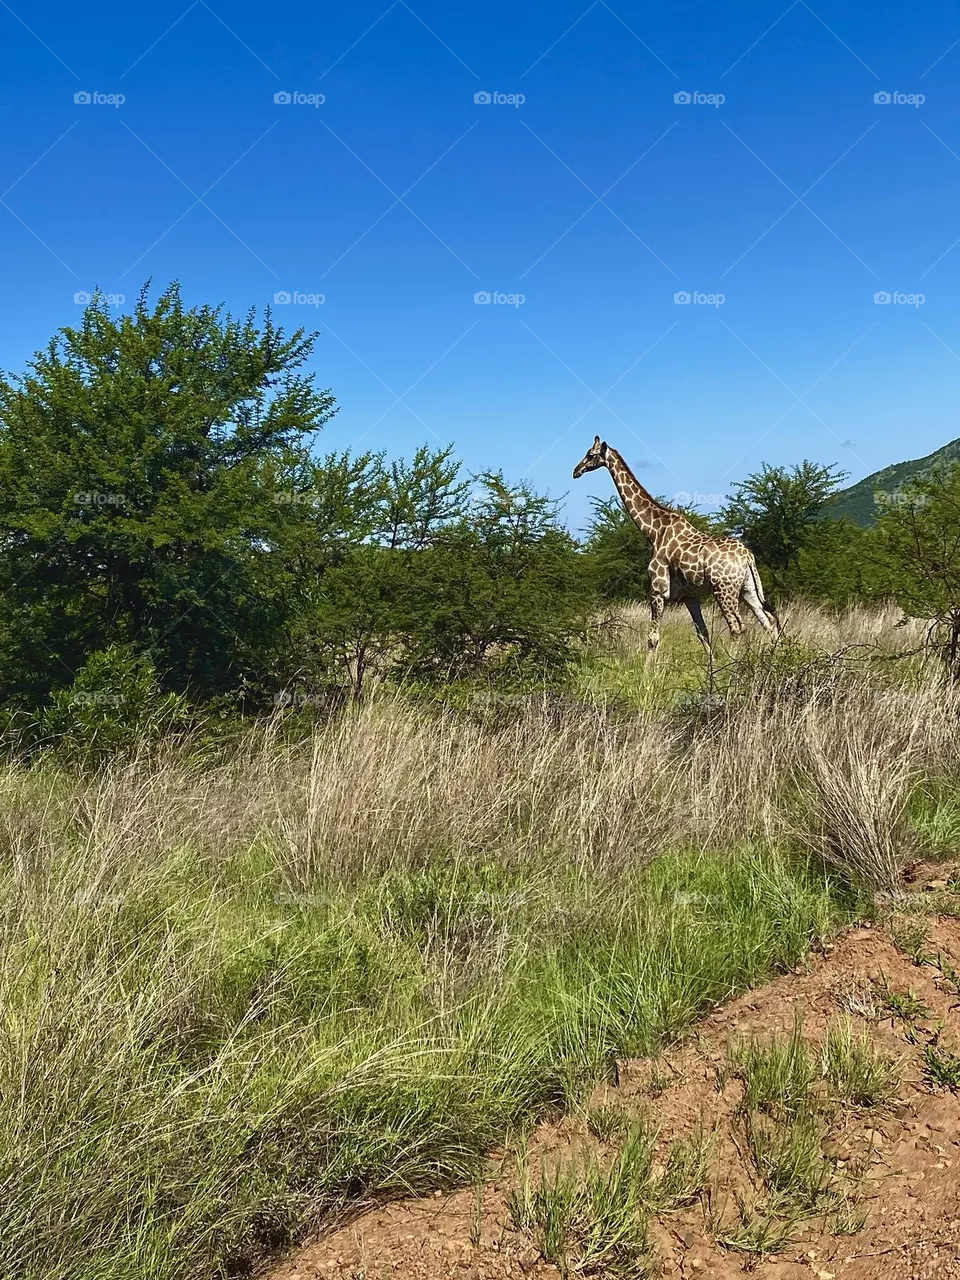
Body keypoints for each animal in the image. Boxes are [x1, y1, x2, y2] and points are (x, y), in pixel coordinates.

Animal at [573, 436, 779, 652]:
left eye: (590, 455)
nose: (576, 471)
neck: (654, 531)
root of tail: (748, 556)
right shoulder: (690, 596)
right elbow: (703, 634)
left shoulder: (658, 590)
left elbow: (653, 638)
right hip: (748, 589)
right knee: (769, 622)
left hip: (724, 590)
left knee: (738, 628)